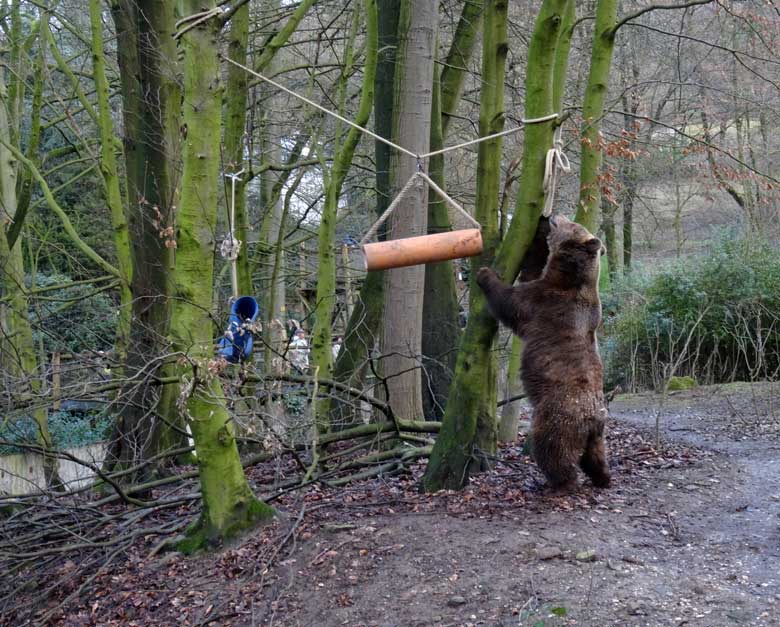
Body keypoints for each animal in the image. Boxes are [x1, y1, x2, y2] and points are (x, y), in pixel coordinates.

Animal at [472, 216, 612, 496]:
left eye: (572, 223)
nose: (554, 216)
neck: (570, 277)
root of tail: (592, 418)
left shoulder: (545, 302)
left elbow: (511, 301)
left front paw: (485, 274)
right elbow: (533, 269)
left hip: (557, 415)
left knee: (552, 448)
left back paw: (559, 482)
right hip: (597, 433)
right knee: (595, 455)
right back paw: (603, 477)